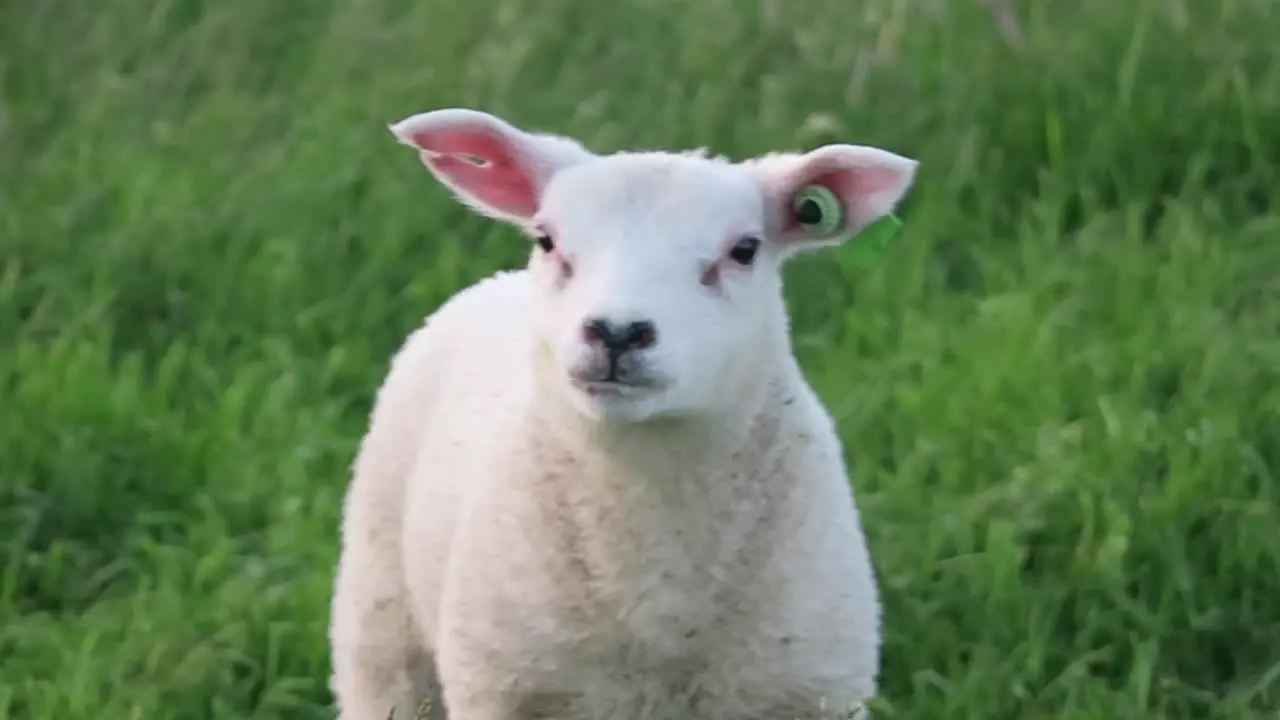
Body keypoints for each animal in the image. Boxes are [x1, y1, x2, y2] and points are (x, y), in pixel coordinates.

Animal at [325, 106, 916, 717]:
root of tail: (497, 282)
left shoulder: (810, 689)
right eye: (546, 239)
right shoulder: (503, 688)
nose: (616, 332)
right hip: (381, 618)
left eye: (745, 250)